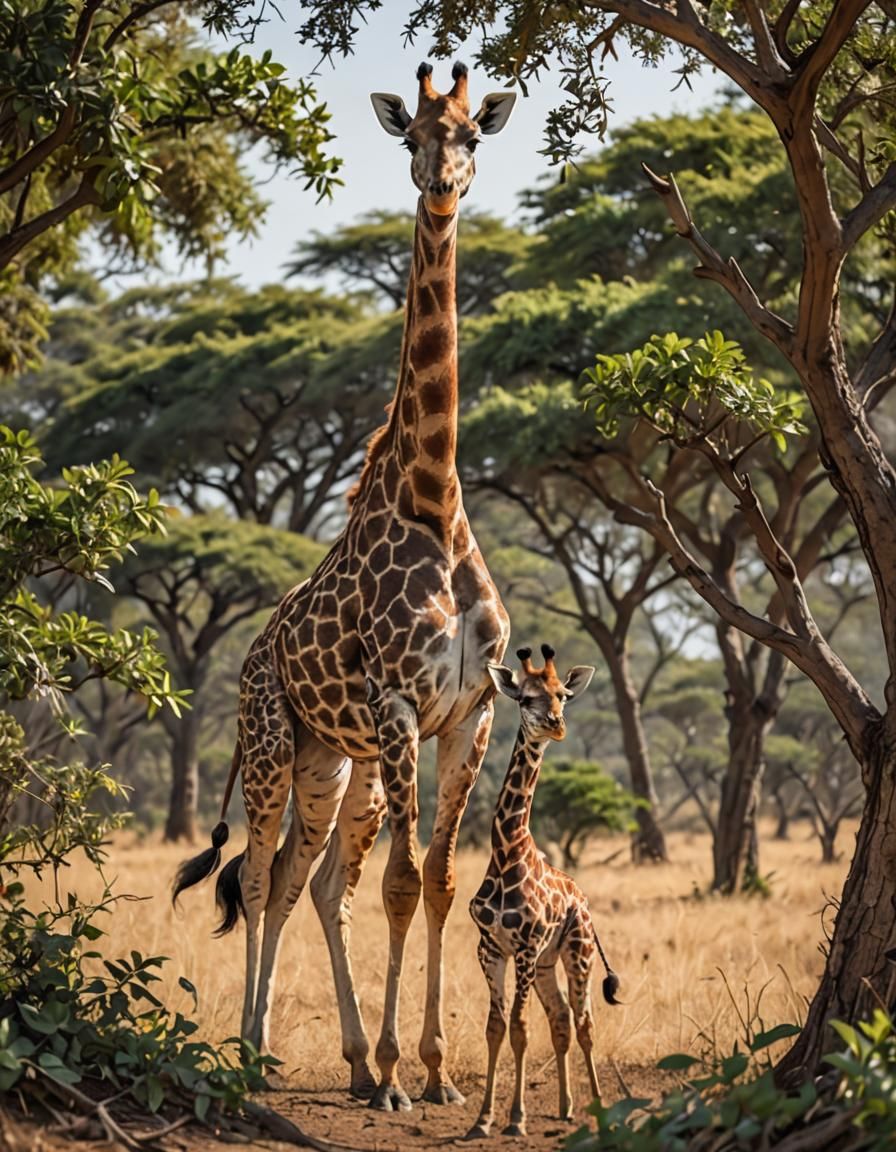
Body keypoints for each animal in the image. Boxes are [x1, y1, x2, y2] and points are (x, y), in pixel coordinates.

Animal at [173, 62, 516, 1113]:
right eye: (411, 138)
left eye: (472, 139)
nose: (441, 187)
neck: (435, 498)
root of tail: (249, 654)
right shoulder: (401, 703)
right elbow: (404, 884)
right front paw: (409, 1074)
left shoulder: (471, 713)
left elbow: (438, 882)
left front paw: (434, 1070)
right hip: (277, 748)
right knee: (264, 874)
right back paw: (253, 1051)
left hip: (340, 763)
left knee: (315, 881)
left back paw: (357, 1060)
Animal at [466, 645, 620, 1140]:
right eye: (526, 697)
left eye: (563, 695)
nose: (556, 724)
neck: (506, 851)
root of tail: (582, 898)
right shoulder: (490, 947)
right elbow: (495, 1027)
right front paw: (483, 1120)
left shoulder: (526, 947)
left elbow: (519, 1028)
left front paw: (515, 1118)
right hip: (550, 962)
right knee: (561, 1018)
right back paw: (567, 1106)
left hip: (577, 951)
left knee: (585, 1021)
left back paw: (598, 1106)